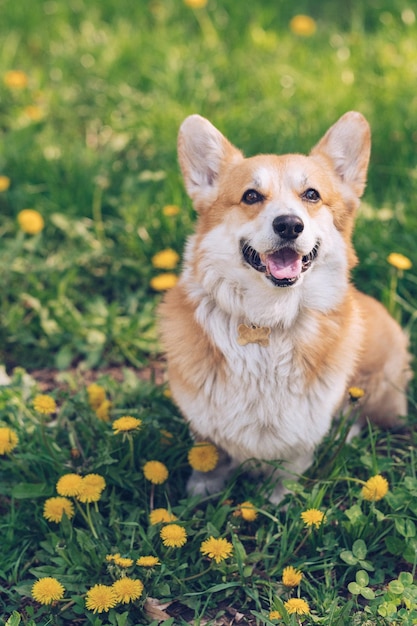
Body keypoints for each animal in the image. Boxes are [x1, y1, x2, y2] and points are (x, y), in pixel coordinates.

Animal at [158, 111, 410, 502]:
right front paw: (202, 492)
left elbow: (289, 468)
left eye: (311, 195)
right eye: (250, 196)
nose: (290, 225)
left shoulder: (303, 433)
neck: (269, 319)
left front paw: (279, 500)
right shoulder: (202, 417)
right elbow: (209, 453)